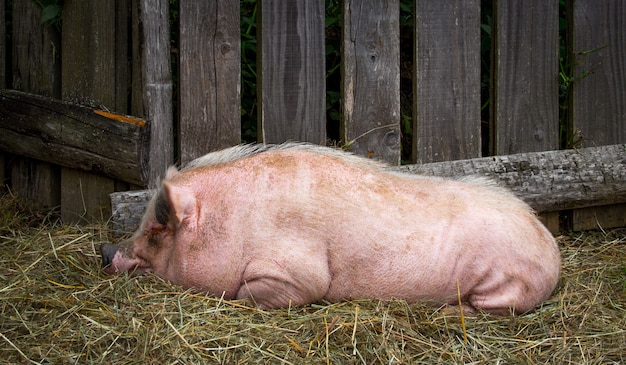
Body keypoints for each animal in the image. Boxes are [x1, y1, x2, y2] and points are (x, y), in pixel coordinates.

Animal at [100, 141, 560, 312]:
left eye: (156, 230)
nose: (105, 251)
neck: (234, 222)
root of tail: (551, 249)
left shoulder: (296, 273)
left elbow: (265, 292)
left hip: (507, 285)